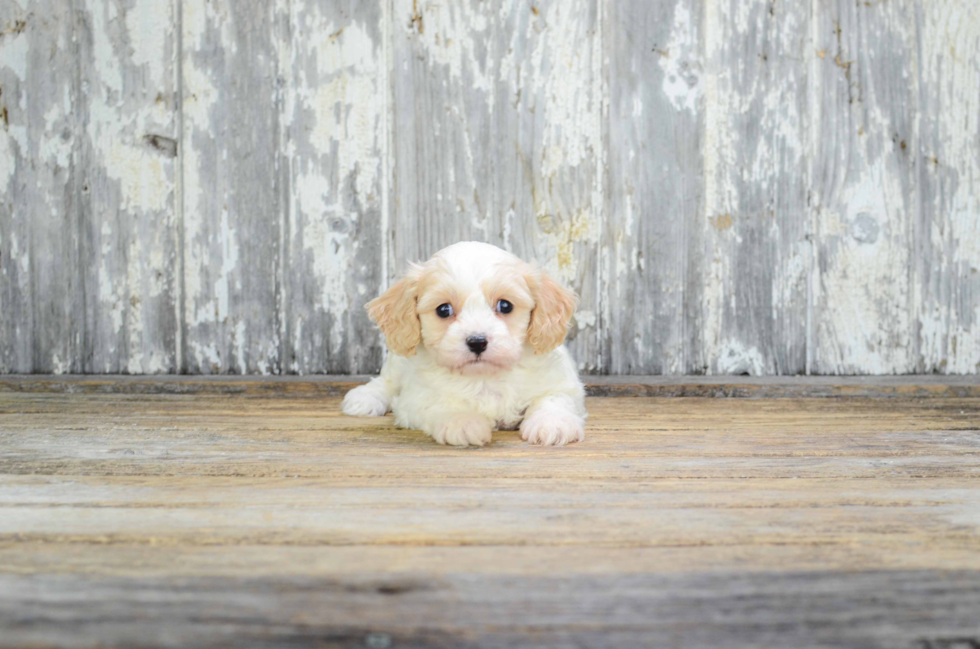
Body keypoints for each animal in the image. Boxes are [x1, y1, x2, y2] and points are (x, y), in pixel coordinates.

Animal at [340, 240, 584, 448]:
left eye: (505, 306)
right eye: (444, 309)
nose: (477, 342)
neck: (484, 377)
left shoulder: (561, 382)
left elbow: (553, 398)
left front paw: (552, 423)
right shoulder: (416, 397)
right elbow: (441, 403)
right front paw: (463, 422)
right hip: (399, 360)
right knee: (386, 381)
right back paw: (365, 398)